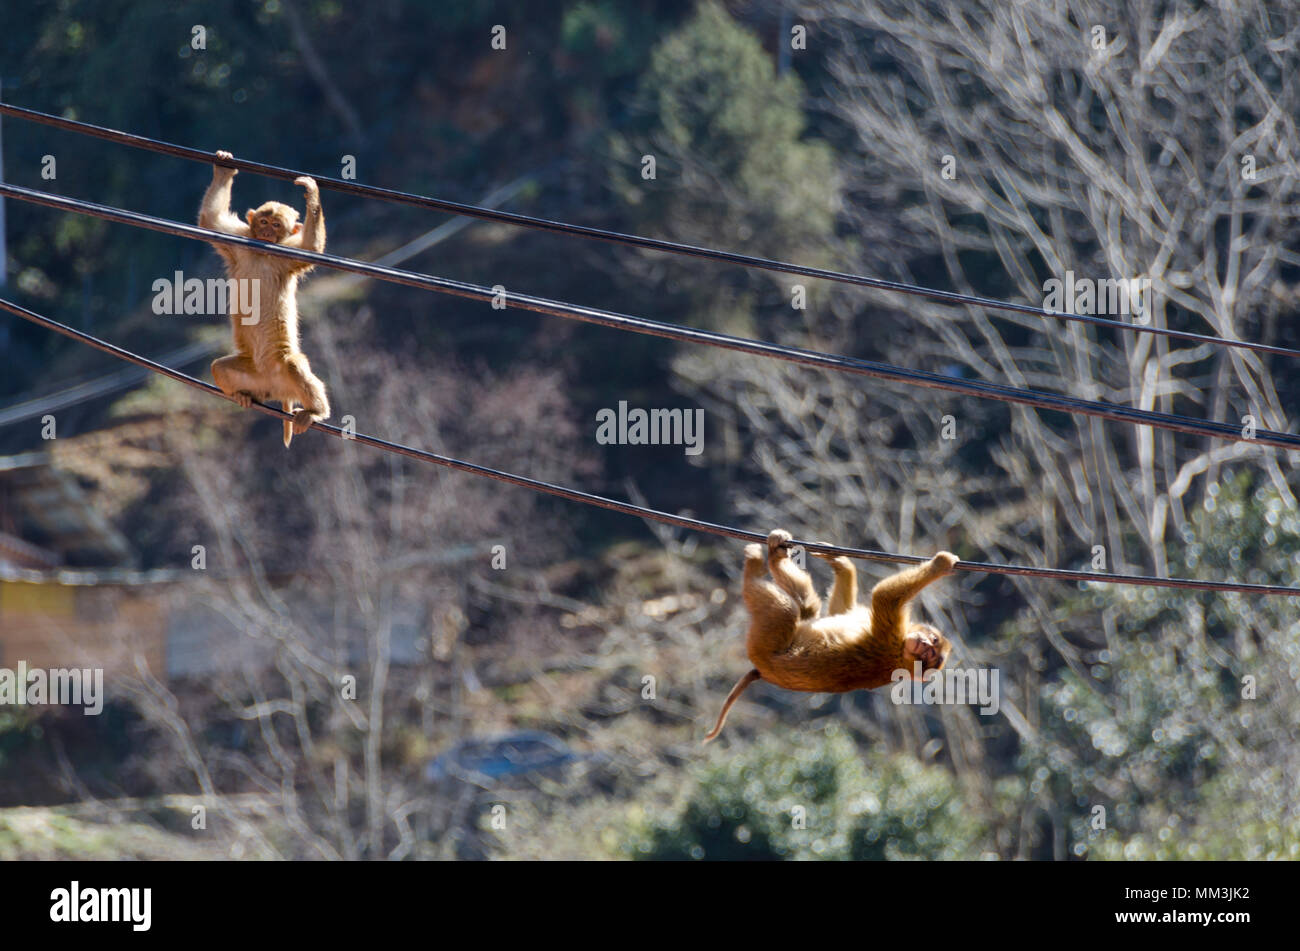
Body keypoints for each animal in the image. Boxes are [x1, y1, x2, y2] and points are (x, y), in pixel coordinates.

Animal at [198, 148, 330, 446]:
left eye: (277, 225)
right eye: (264, 221)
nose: (267, 232)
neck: (262, 251)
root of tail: (275, 389)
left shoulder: (286, 257)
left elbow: (311, 247)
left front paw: (311, 192)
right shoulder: (238, 242)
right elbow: (211, 220)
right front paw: (224, 168)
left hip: (283, 370)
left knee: (295, 364)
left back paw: (316, 412)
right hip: (253, 374)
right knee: (220, 368)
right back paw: (243, 395)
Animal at [707, 527, 961, 743]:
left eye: (929, 656)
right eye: (932, 644)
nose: (924, 644)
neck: (902, 653)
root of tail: (762, 671)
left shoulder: (890, 637)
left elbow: (885, 596)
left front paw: (940, 564)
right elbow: (841, 610)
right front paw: (842, 564)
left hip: (764, 646)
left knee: (786, 611)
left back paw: (757, 565)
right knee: (807, 605)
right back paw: (777, 555)